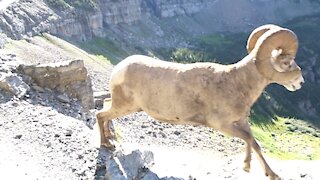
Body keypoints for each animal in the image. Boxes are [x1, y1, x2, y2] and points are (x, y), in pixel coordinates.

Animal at [96, 24, 304, 180]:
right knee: (100, 114)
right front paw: (246, 167)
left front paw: (273, 175)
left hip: (122, 105)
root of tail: (119, 69)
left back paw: (111, 139)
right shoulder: (222, 125)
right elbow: (247, 138)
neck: (237, 83)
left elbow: (254, 142)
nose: (300, 82)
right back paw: (106, 144)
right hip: (125, 106)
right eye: (286, 63)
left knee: (105, 107)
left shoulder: (241, 121)